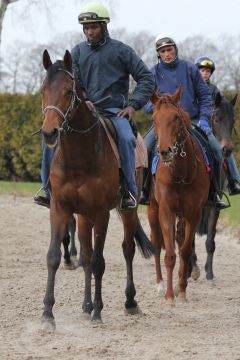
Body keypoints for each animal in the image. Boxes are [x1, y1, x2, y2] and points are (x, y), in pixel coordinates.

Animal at [40, 49, 154, 330]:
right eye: (43, 90)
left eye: (68, 91)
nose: (50, 132)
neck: (80, 155)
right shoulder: (61, 208)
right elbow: (55, 257)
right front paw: (48, 314)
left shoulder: (102, 212)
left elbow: (99, 261)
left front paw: (98, 312)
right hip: (83, 216)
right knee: (86, 253)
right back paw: (86, 305)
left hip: (126, 211)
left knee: (127, 249)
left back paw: (129, 302)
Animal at [147, 88, 211, 304]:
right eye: (154, 118)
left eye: (176, 117)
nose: (165, 151)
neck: (181, 174)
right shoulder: (166, 210)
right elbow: (169, 254)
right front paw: (169, 295)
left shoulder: (194, 213)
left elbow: (184, 250)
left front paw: (181, 290)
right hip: (153, 209)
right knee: (157, 242)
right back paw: (159, 284)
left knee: (181, 238)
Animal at [189, 90, 238, 282]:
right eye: (216, 119)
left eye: (233, 121)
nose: (227, 150)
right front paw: (193, 269)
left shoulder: (214, 205)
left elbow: (210, 239)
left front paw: (209, 272)